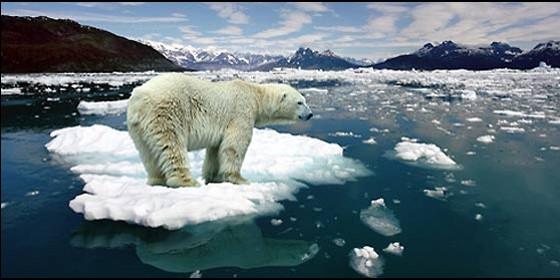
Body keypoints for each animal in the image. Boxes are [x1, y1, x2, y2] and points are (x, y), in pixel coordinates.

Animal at [126, 73, 316, 188]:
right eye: (300, 102)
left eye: (305, 100)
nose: (310, 114)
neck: (255, 95)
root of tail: (139, 98)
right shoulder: (241, 112)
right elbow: (235, 145)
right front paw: (239, 179)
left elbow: (215, 149)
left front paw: (213, 177)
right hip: (167, 112)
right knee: (172, 145)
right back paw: (187, 181)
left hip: (138, 127)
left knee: (148, 153)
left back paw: (156, 180)